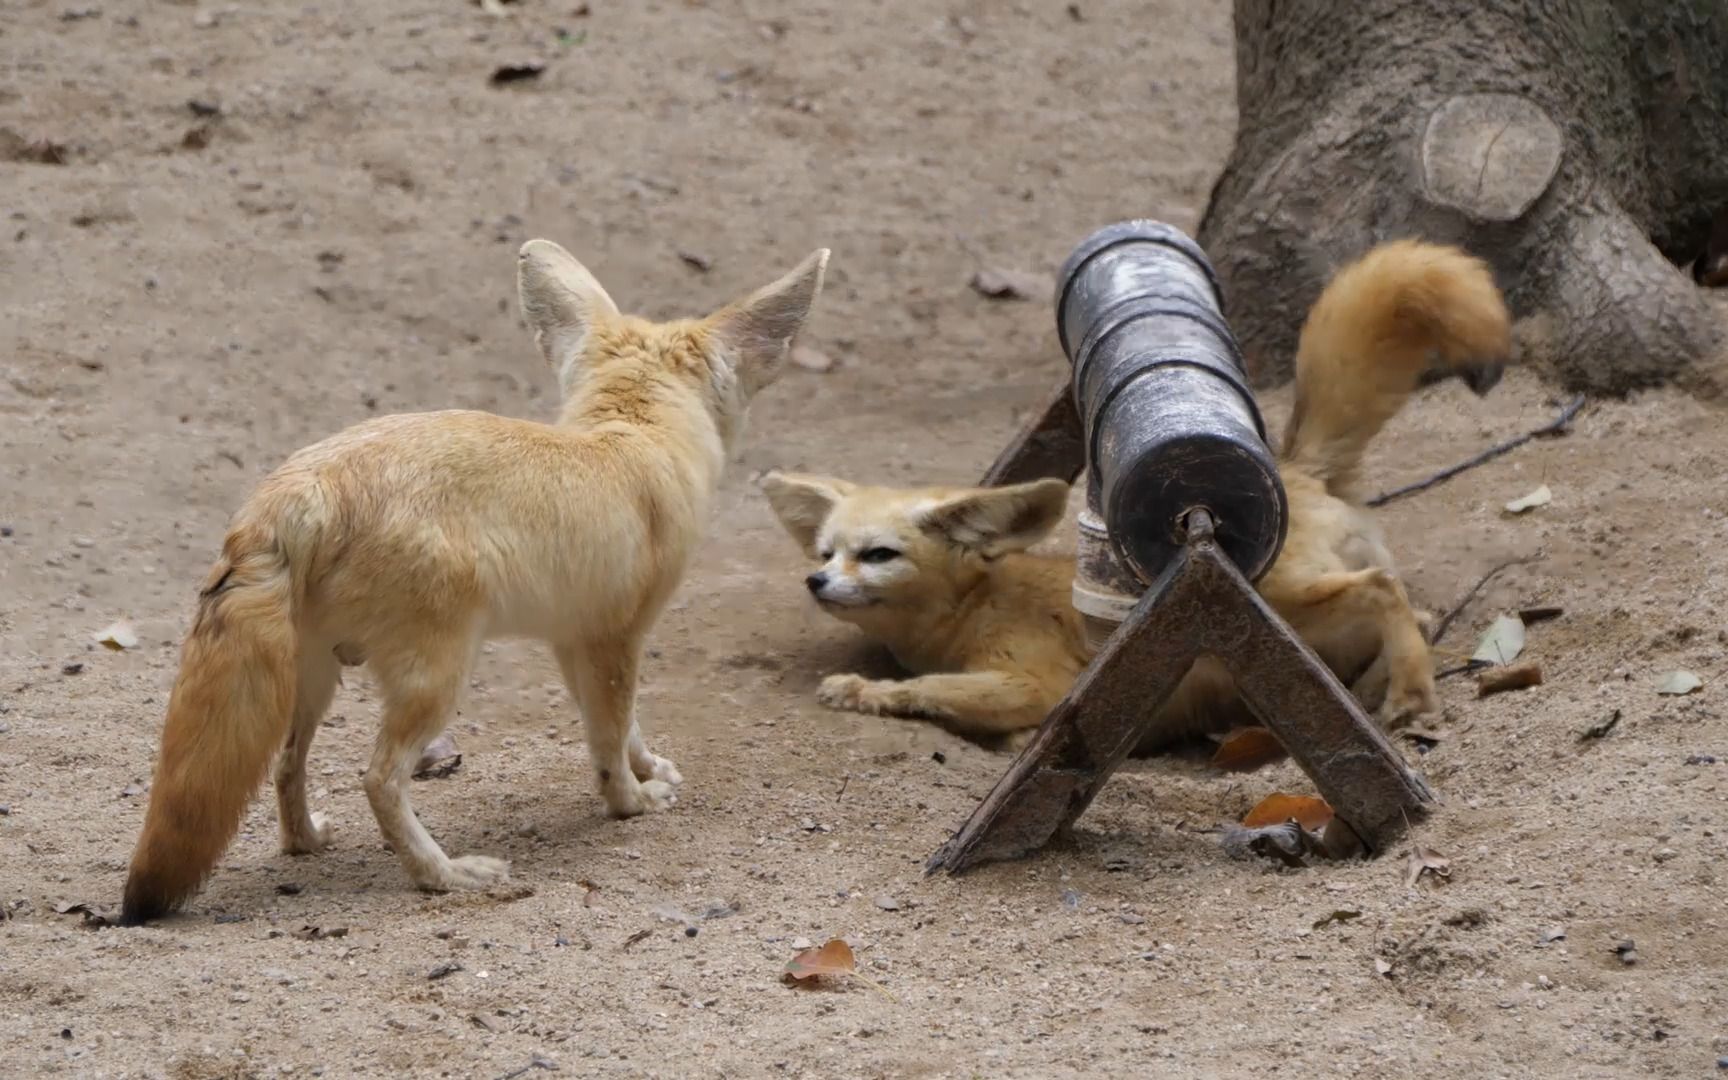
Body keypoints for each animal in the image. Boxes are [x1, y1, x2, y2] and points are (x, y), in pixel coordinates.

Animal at [121, 240, 829, 919]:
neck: (629, 430)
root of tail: (304, 485)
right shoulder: (617, 637)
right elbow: (607, 739)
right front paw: (631, 799)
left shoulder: (576, 641)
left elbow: (619, 726)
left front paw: (646, 764)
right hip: (435, 678)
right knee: (378, 778)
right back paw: (443, 875)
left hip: (314, 680)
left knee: (287, 765)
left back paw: (307, 842)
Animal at [763, 240, 1506, 749]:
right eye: (827, 552)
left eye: (878, 555)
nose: (814, 581)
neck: (974, 606)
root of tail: (1295, 469)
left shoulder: (1033, 680)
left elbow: (929, 690)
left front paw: (863, 690)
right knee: (1415, 609)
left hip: (1267, 595)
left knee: (1384, 588)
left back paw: (1410, 692)